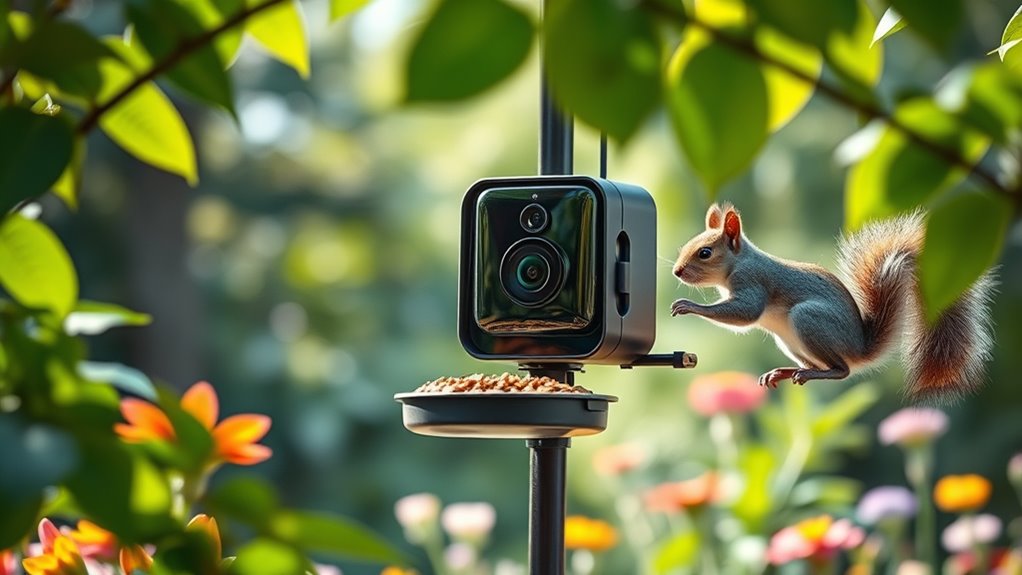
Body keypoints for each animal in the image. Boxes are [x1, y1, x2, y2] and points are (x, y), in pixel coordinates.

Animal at [670, 203, 995, 400]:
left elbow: (746, 314)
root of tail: (859, 349)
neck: (737, 263)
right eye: (685, 246)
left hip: (808, 319)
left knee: (841, 370)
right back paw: (784, 372)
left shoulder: (753, 281)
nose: (677, 272)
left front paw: (688, 306)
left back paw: (811, 372)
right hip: (788, 340)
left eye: (705, 253)